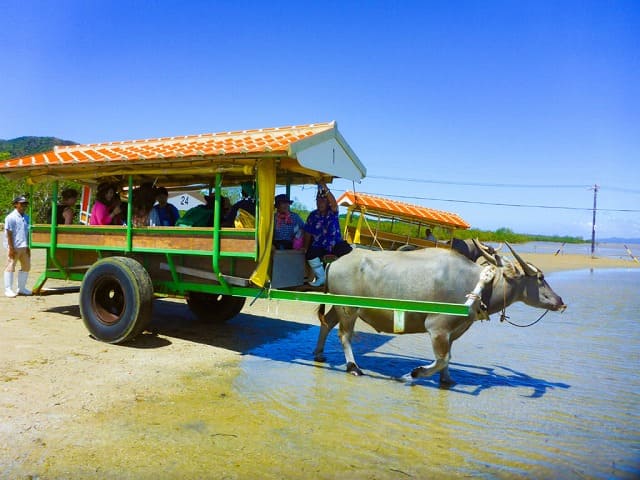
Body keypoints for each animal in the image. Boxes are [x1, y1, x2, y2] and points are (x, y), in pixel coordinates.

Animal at [316, 242, 564, 384]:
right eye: (540, 277)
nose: (561, 302)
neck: (479, 284)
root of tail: (336, 261)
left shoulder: (454, 331)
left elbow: (448, 359)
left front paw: (447, 379)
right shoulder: (437, 328)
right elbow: (443, 358)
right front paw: (412, 374)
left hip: (339, 306)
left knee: (326, 323)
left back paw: (318, 354)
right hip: (348, 309)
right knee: (345, 335)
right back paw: (353, 367)